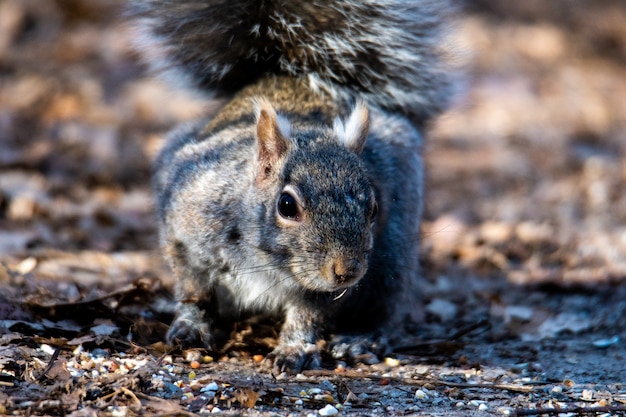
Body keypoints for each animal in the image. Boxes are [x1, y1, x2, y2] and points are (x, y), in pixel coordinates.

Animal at [130, 0, 454, 370]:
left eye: (374, 208)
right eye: (287, 206)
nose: (348, 271)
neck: (265, 258)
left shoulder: (322, 286)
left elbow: (309, 312)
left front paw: (296, 347)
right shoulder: (183, 226)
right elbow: (193, 289)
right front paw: (191, 326)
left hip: (393, 259)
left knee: (385, 308)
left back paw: (361, 338)